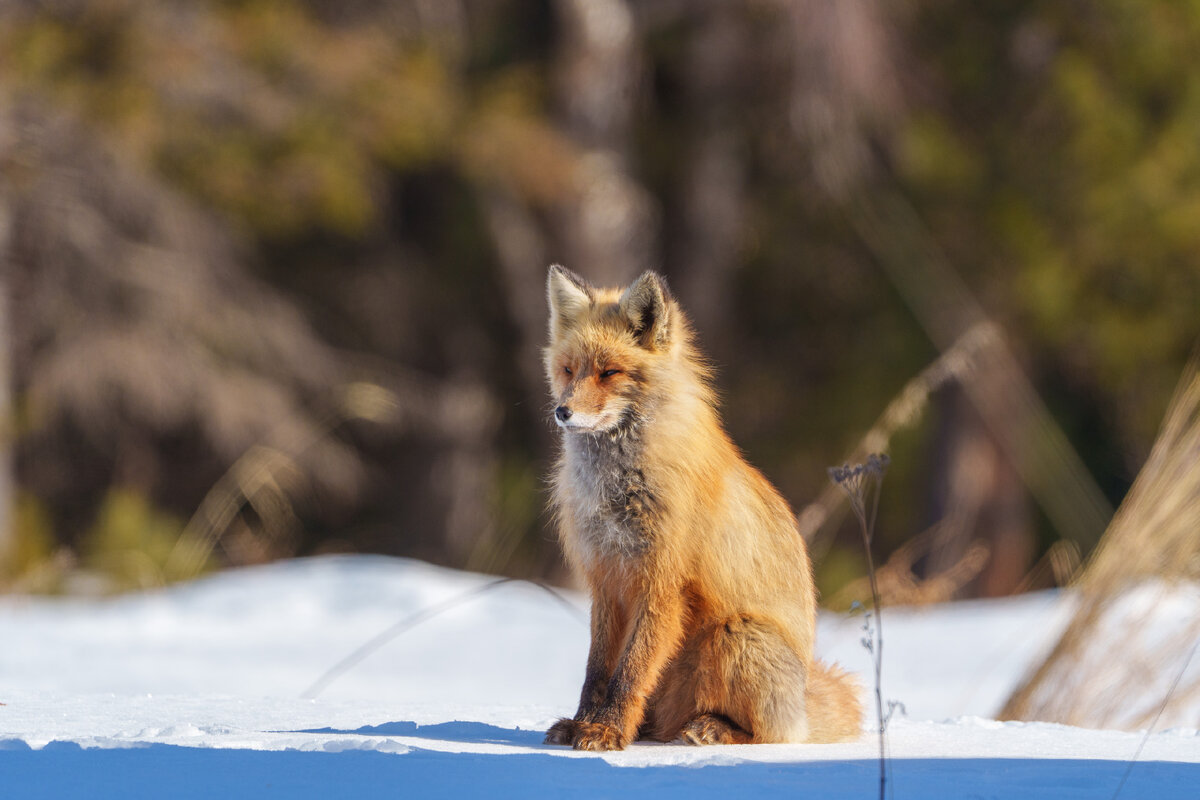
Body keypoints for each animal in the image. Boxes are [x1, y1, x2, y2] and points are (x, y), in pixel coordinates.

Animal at [544, 267, 864, 753]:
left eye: (609, 372)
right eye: (568, 370)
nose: (563, 412)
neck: (621, 488)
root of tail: (803, 696)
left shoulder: (663, 583)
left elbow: (630, 672)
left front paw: (607, 730)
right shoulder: (606, 579)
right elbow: (597, 672)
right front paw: (585, 722)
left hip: (736, 635)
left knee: (774, 736)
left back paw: (713, 729)